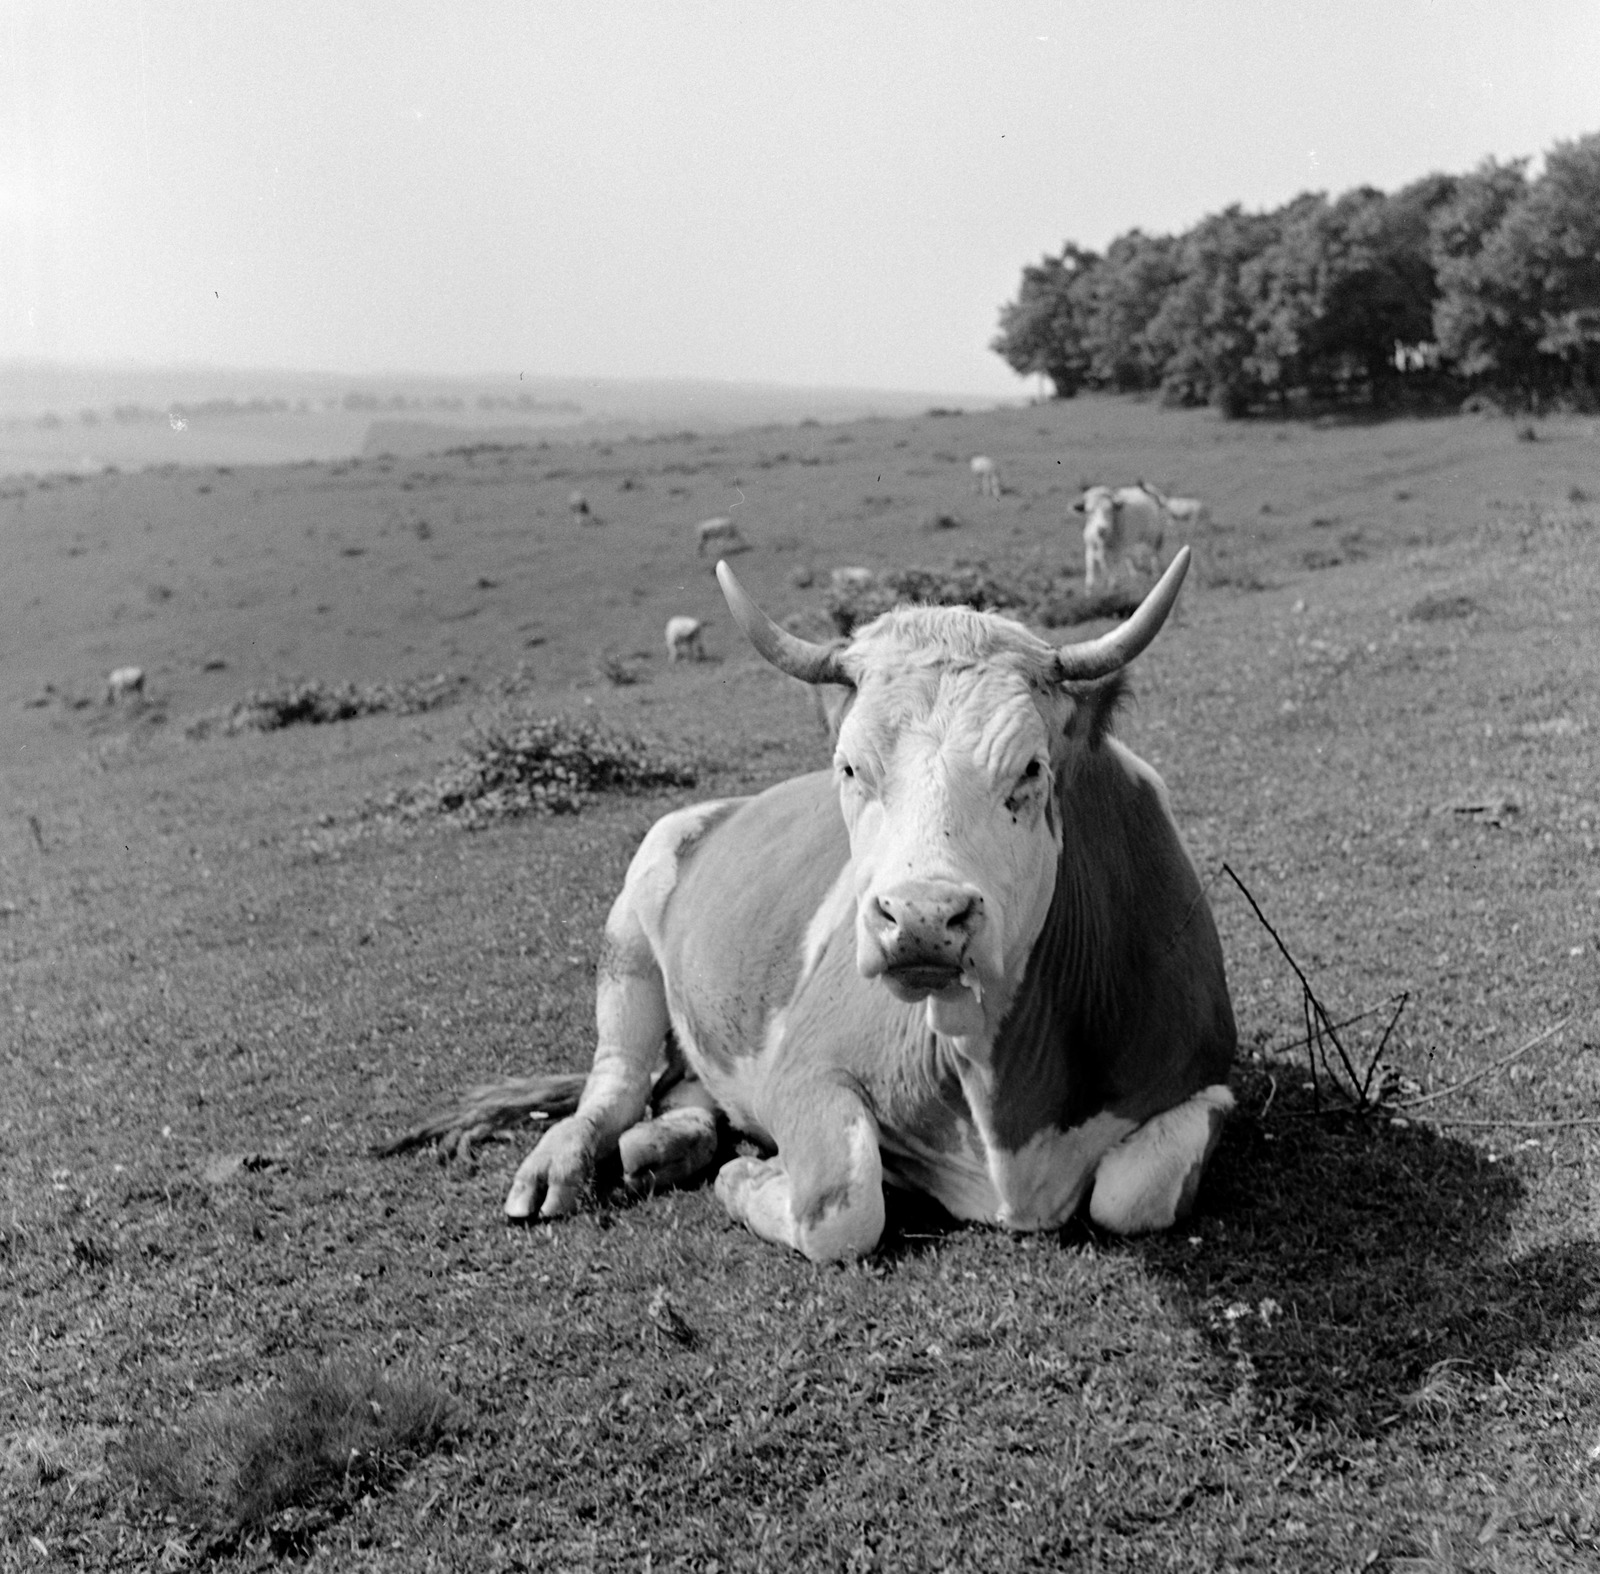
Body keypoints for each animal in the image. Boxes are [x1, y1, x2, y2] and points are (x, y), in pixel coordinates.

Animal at [387, 550, 1235, 1266]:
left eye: (1030, 769)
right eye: (850, 767)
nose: (921, 919)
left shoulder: (1207, 1078)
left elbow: (1135, 1194)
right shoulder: (803, 1070)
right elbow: (841, 1207)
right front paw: (751, 1181)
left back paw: (669, 1144)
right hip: (633, 917)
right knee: (618, 1080)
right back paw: (568, 1161)